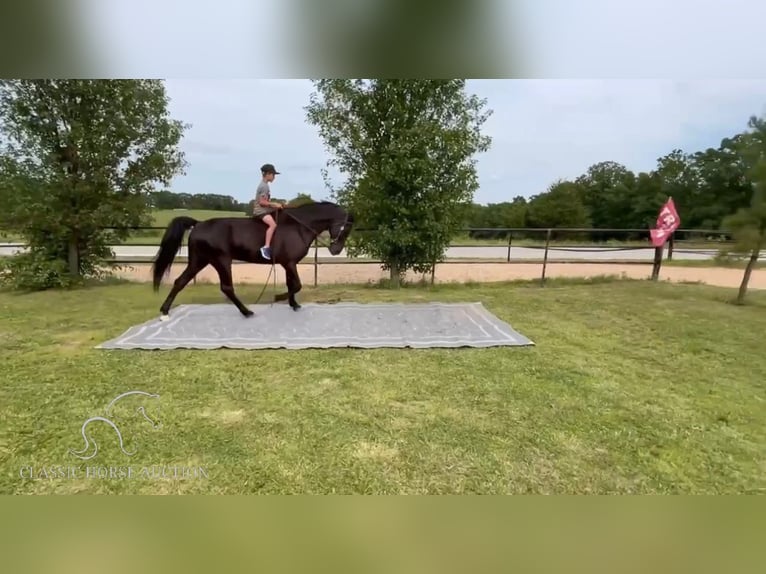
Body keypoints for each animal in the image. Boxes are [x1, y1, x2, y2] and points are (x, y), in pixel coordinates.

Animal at [152, 201, 354, 320]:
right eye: (344, 228)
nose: (336, 250)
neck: (298, 226)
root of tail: (198, 224)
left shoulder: (288, 264)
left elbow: (291, 284)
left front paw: (294, 305)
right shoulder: (289, 263)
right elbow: (296, 285)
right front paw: (279, 298)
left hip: (199, 261)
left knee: (180, 282)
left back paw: (165, 311)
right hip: (221, 260)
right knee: (226, 287)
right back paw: (247, 312)